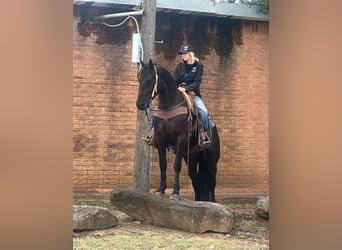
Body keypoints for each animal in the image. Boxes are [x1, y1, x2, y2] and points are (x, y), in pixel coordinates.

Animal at [135, 59, 220, 202]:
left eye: (150, 79)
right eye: (139, 78)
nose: (140, 104)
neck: (169, 107)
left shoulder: (180, 139)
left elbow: (176, 166)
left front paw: (175, 193)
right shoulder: (160, 140)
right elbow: (163, 164)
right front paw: (160, 190)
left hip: (211, 160)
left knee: (211, 182)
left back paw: (212, 202)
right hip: (192, 158)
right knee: (196, 182)